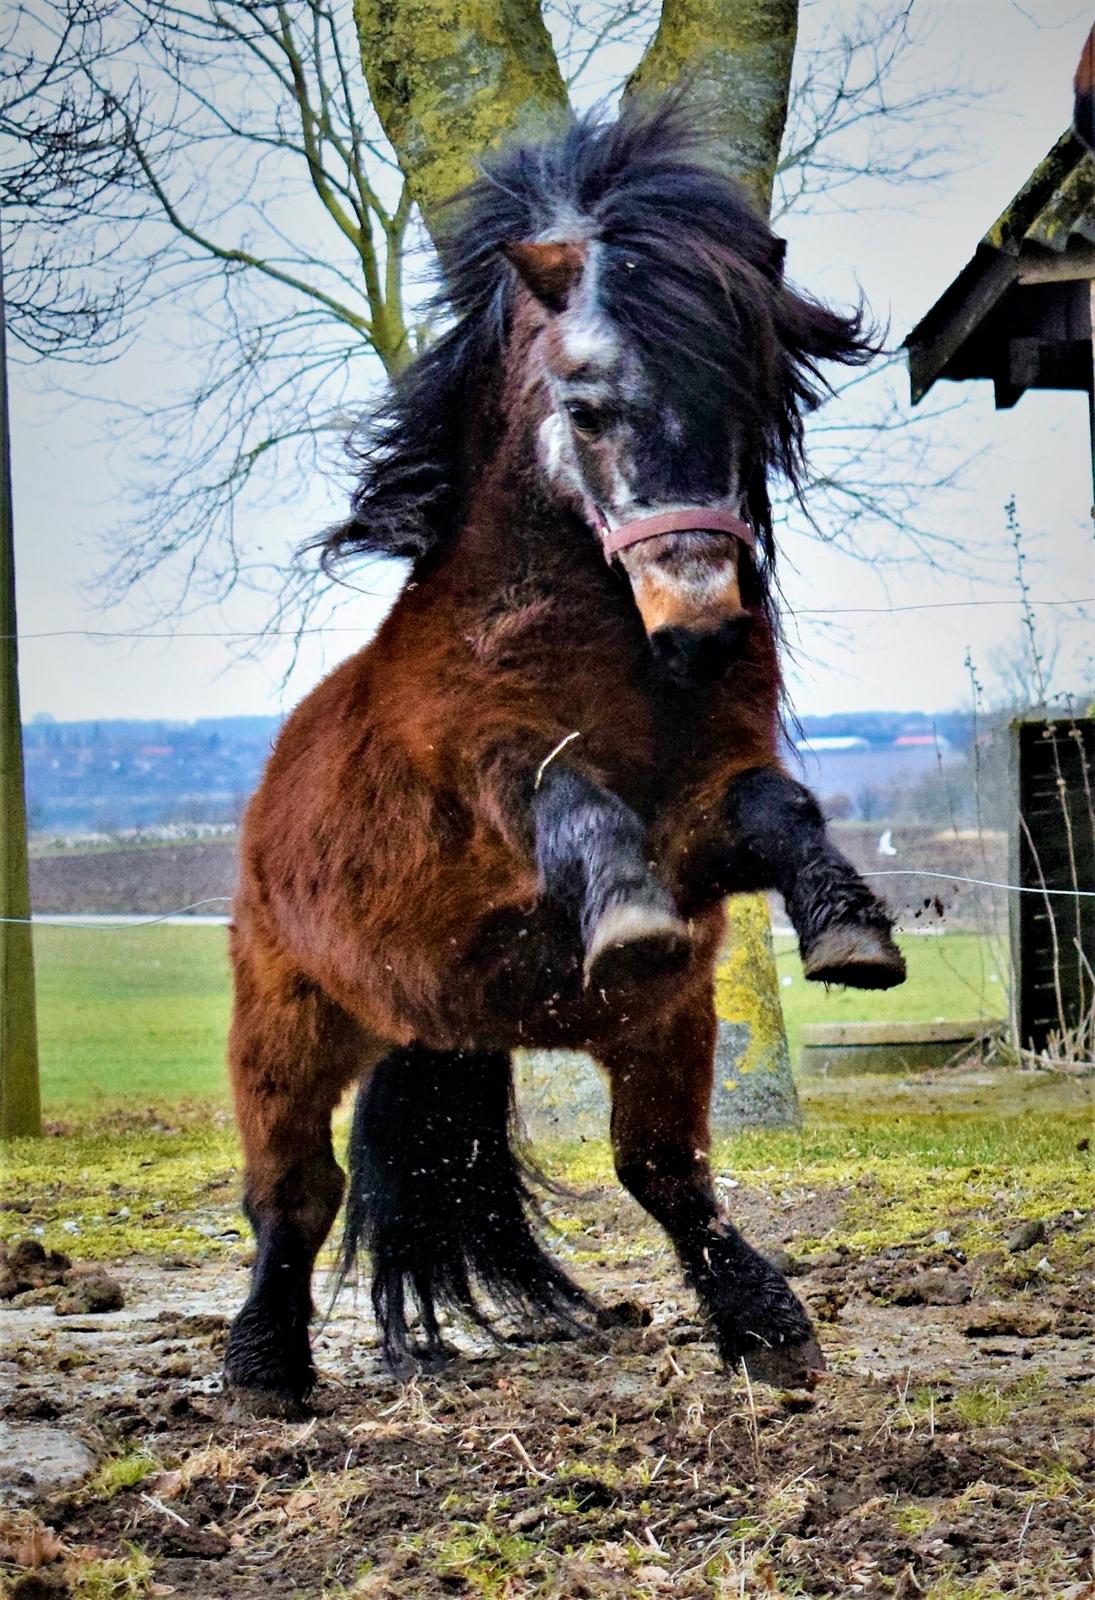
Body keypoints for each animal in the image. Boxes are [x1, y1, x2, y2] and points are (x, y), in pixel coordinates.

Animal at [223, 104, 905, 1413]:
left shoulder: (711, 807)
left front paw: (852, 932)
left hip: (646, 1034)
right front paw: (627, 917)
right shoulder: (487, 789)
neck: (605, 664)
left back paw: (766, 1327)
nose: (699, 622)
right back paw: (263, 1368)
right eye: (586, 407)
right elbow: (569, 800)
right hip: (287, 1023)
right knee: (293, 1197)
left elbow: (782, 810)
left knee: (664, 1169)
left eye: (747, 399)